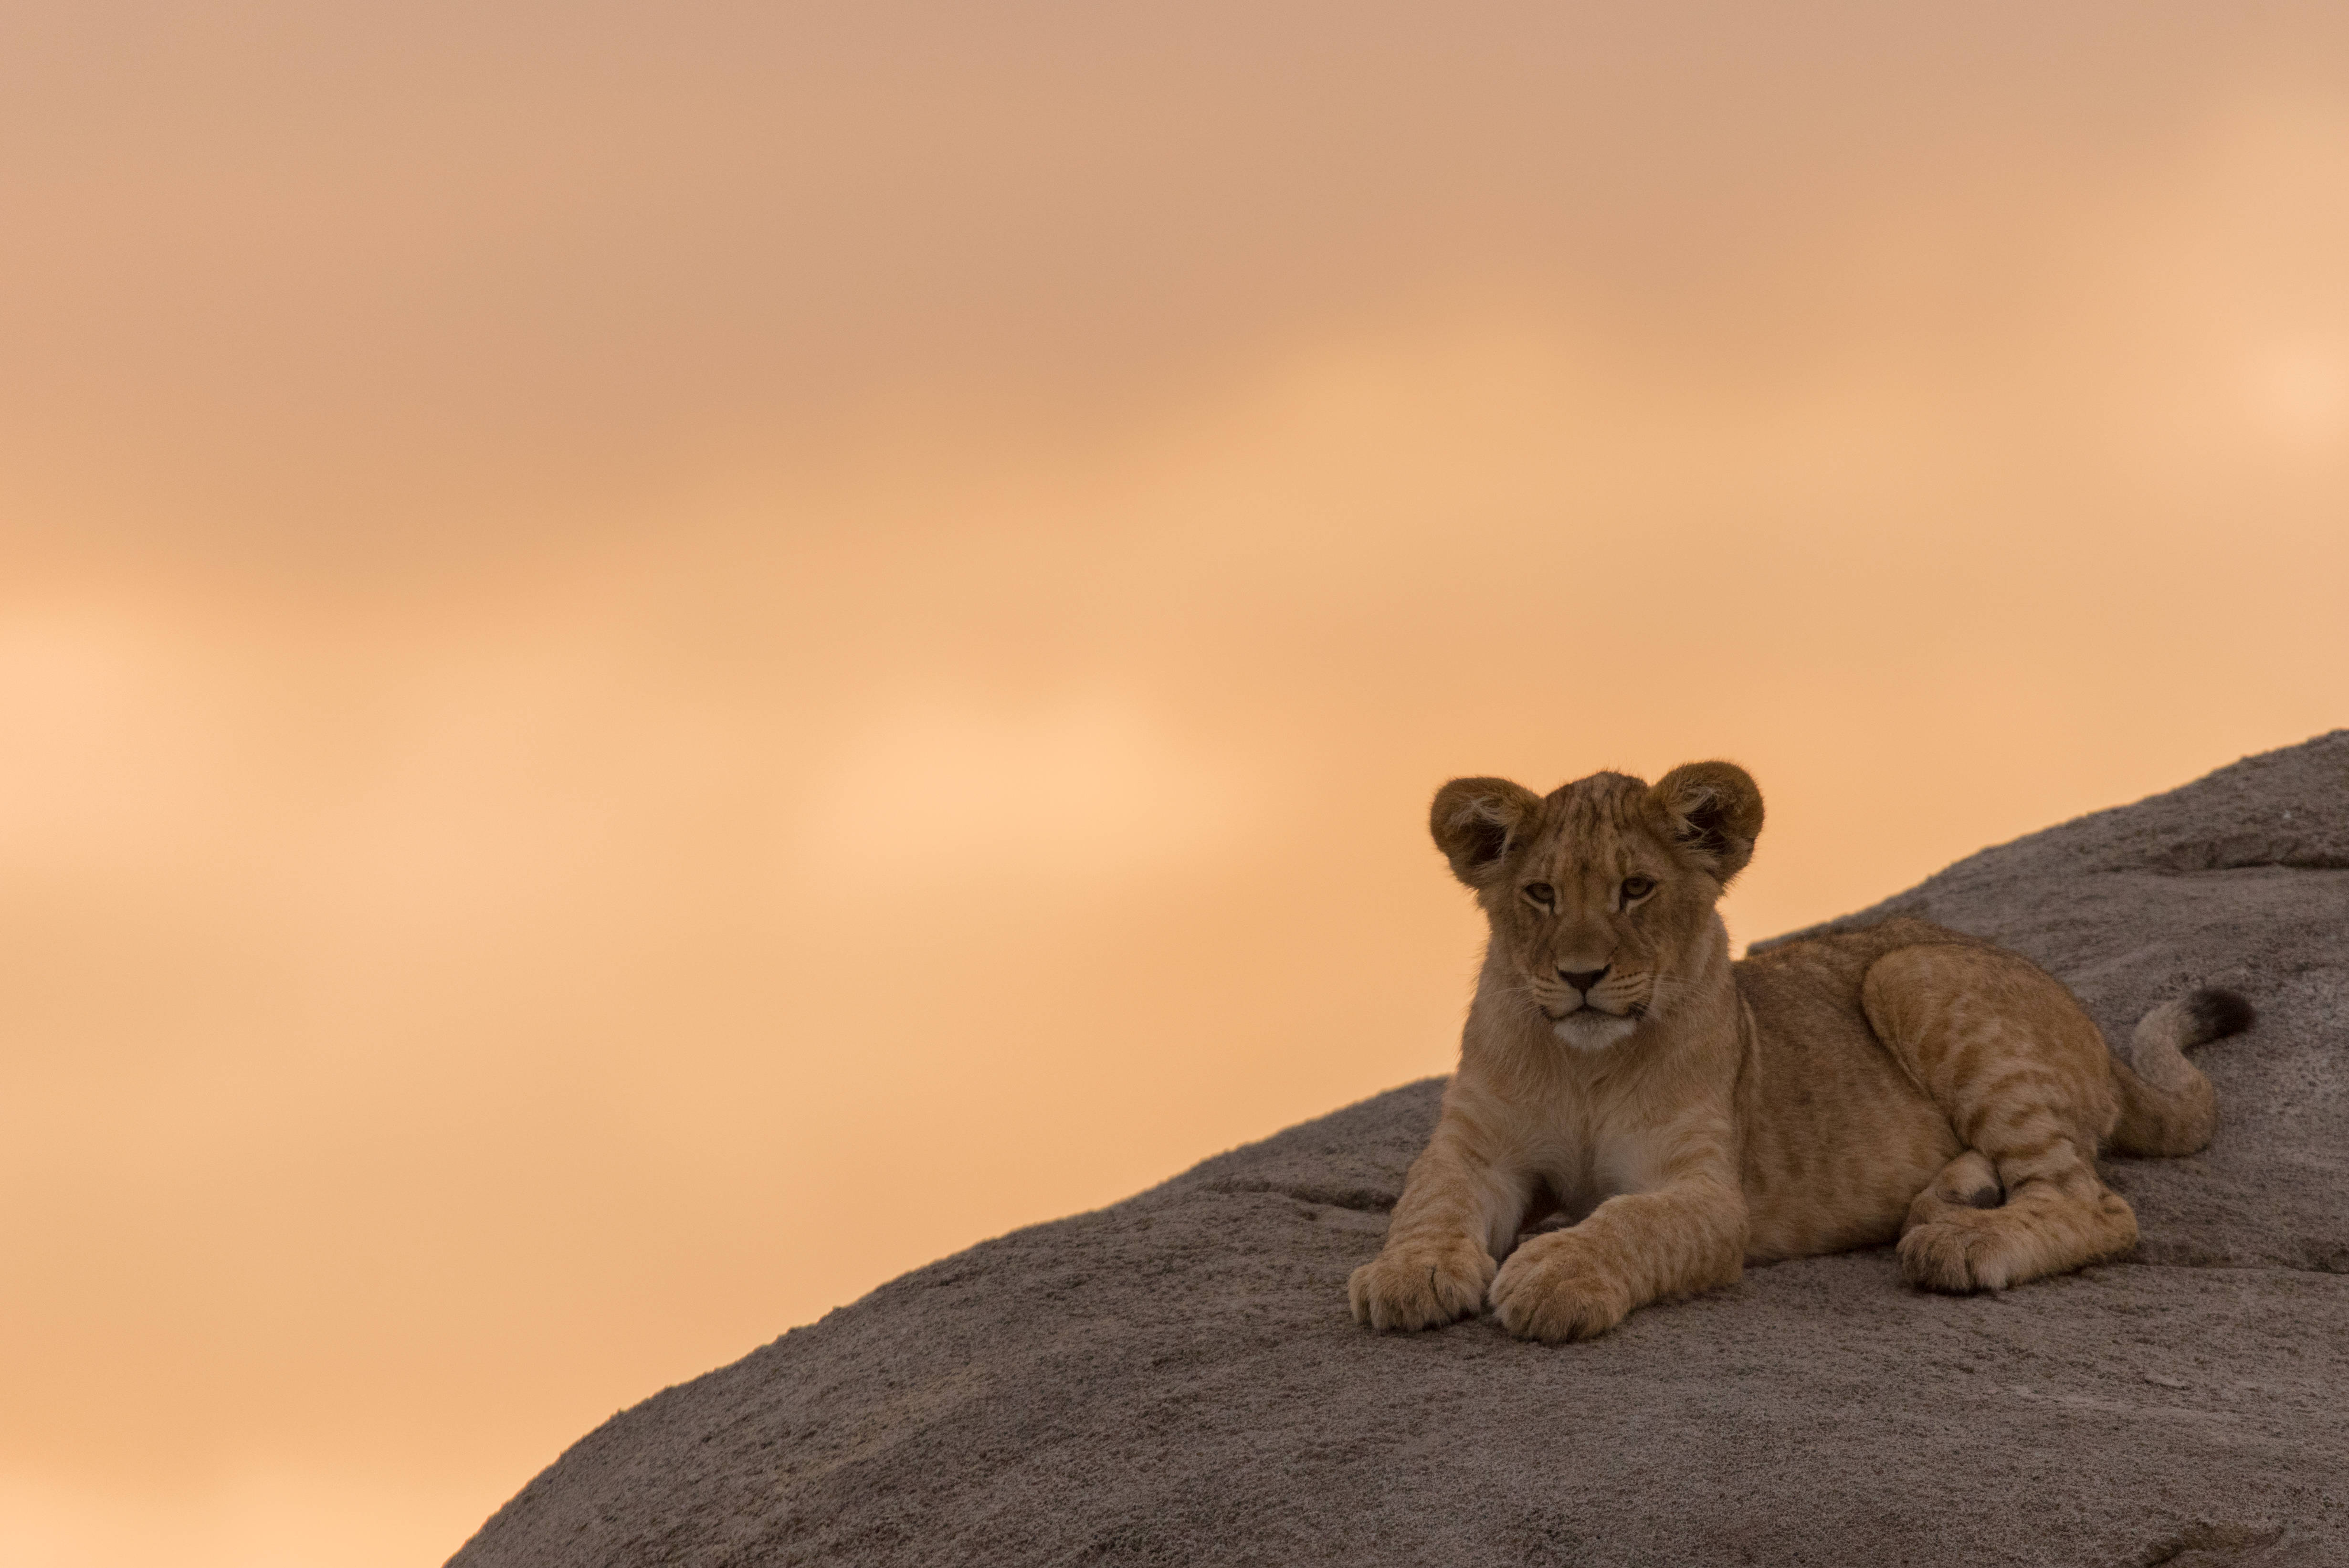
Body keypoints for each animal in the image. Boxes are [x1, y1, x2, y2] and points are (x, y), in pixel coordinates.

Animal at [1347, 762, 2254, 1343]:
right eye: (1539, 893)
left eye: (1635, 889)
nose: (1579, 977)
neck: (1585, 1062)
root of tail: (2101, 1042)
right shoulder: (1477, 1147)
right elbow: (1430, 1200)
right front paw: (1407, 1275)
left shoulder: (1708, 1191)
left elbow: (1631, 1222)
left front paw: (1552, 1274)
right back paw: (1956, 1195)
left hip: (1908, 972)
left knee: (2095, 1203)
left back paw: (1961, 1241)